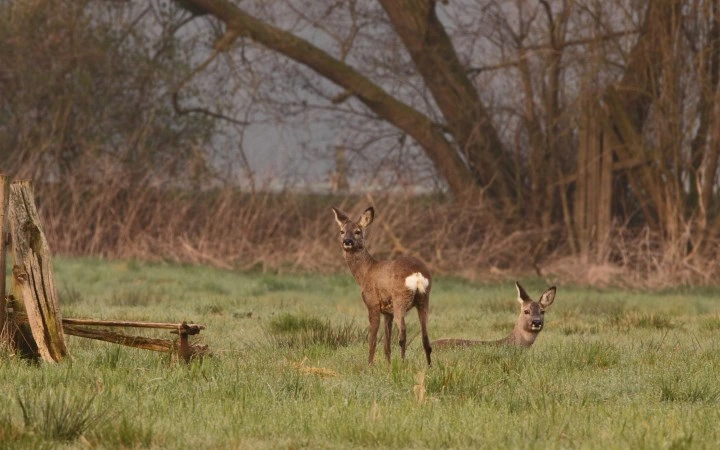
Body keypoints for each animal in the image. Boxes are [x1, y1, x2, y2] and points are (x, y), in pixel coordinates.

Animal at [332, 207, 434, 366]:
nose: (347, 241)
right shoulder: (387, 312)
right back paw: (429, 366)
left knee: (403, 333)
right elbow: (386, 344)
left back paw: (403, 363)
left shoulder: (372, 303)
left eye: (357, 231)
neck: (365, 272)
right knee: (425, 337)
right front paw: (388, 364)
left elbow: (372, 339)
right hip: (424, 298)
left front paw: (369, 365)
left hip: (400, 298)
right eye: (342, 231)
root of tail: (417, 274)